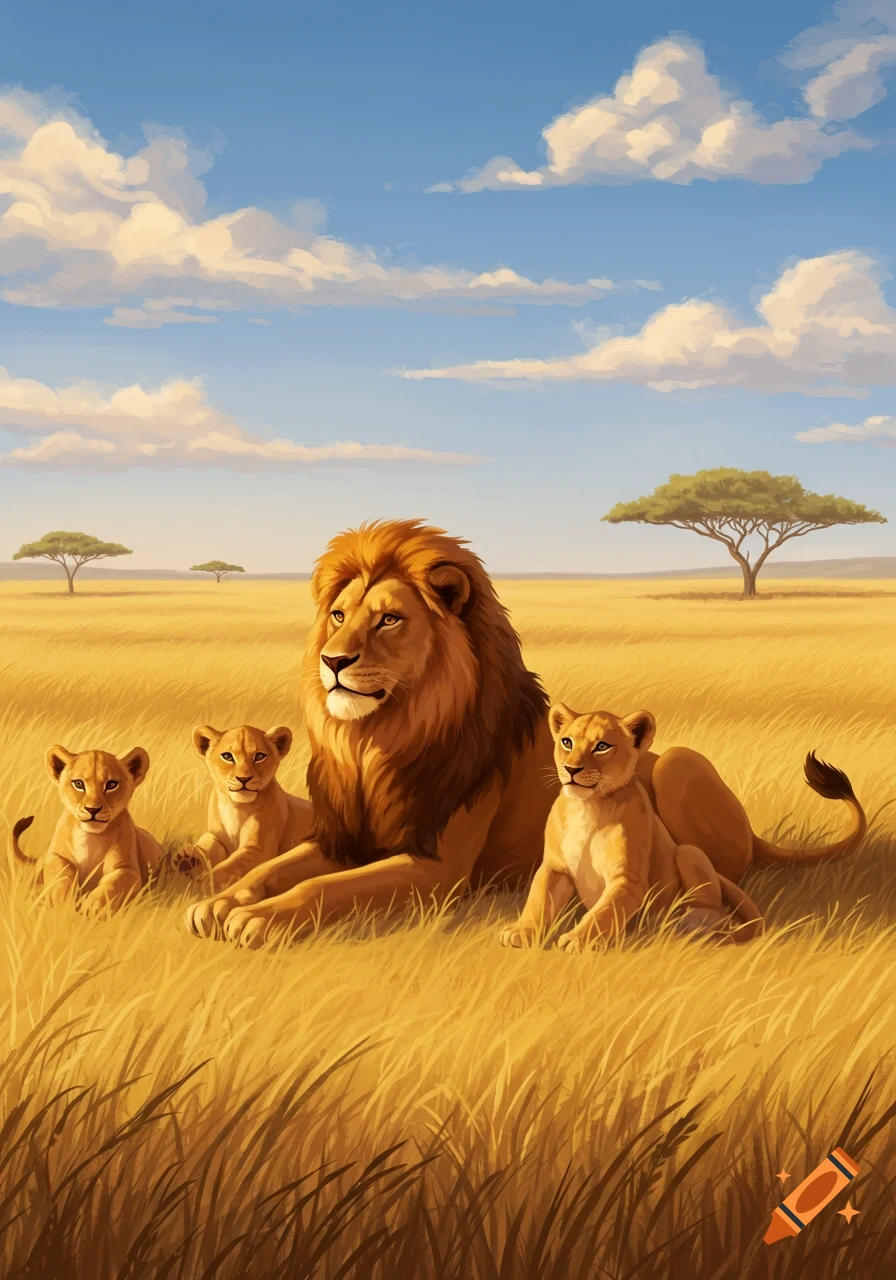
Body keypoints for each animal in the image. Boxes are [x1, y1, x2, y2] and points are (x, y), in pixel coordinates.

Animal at [11, 745, 163, 913]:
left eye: (111, 785)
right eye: (78, 784)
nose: (93, 809)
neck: (91, 838)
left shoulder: (128, 870)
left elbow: (112, 887)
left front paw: (90, 909)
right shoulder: (55, 855)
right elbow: (61, 874)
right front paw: (63, 906)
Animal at [183, 724, 314, 889]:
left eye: (259, 756)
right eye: (227, 756)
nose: (243, 779)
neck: (236, 806)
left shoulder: (258, 849)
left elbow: (229, 866)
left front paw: (204, 883)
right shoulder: (216, 835)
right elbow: (207, 841)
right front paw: (186, 858)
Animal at [502, 701, 866, 953]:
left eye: (602, 746)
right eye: (566, 742)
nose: (571, 769)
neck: (587, 806)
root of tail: (752, 832)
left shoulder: (628, 880)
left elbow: (606, 911)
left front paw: (578, 939)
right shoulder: (555, 867)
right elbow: (539, 900)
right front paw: (521, 932)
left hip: (684, 825)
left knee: (713, 906)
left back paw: (685, 922)